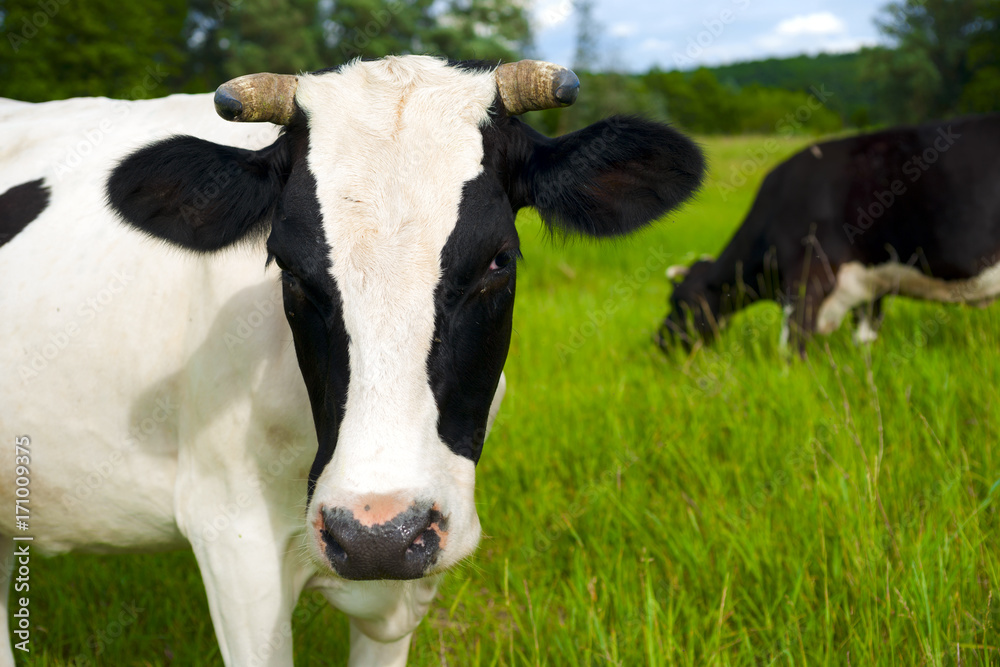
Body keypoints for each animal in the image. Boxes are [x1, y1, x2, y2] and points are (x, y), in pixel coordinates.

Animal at [656, 115, 1000, 352]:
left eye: (677, 301)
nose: (658, 341)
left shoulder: (808, 277)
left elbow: (792, 346)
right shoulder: (868, 288)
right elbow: (864, 341)